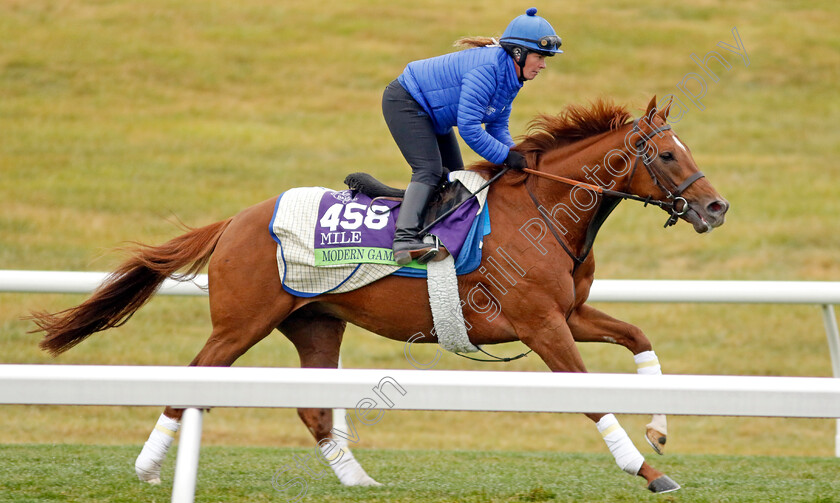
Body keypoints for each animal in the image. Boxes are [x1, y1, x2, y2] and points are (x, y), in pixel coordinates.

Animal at [31, 96, 728, 494]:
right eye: (668, 154)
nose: (716, 207)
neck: (546, 211)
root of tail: (234, 221)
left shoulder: (570, 313)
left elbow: (638, 337)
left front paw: (660, 427)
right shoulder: (542, 325)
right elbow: (591, 398)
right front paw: (647, 471)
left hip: (317, 323)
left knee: (313, 410)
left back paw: (359, 479)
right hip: (239, 323)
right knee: (192, 379)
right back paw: (149, 467)